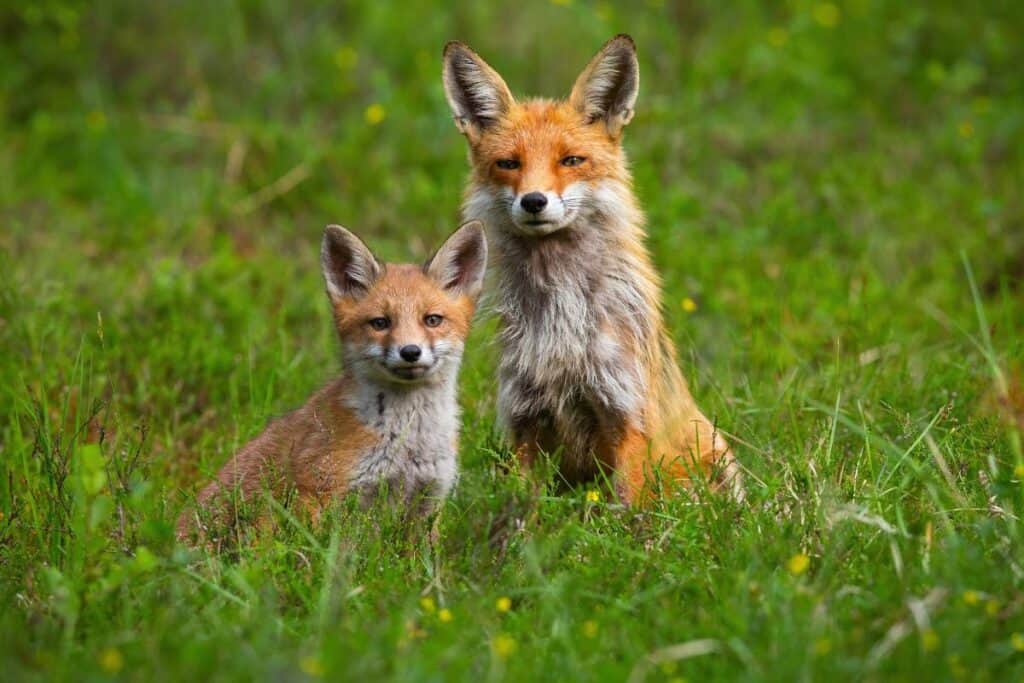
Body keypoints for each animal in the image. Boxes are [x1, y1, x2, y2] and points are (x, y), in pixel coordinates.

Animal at [176, 221, 488, 541]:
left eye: (432, 320)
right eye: (380, 323)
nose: (410, 352)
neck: (409, 440)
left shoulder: (428, 501)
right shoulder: (318, 491)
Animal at [441, 34, 743, 505]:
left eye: (571, 160)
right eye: (508, 164)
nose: (533, 201)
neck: (561, 320)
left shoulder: (624, 411)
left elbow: (631, 506)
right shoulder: (526, 418)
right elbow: (520, 509)